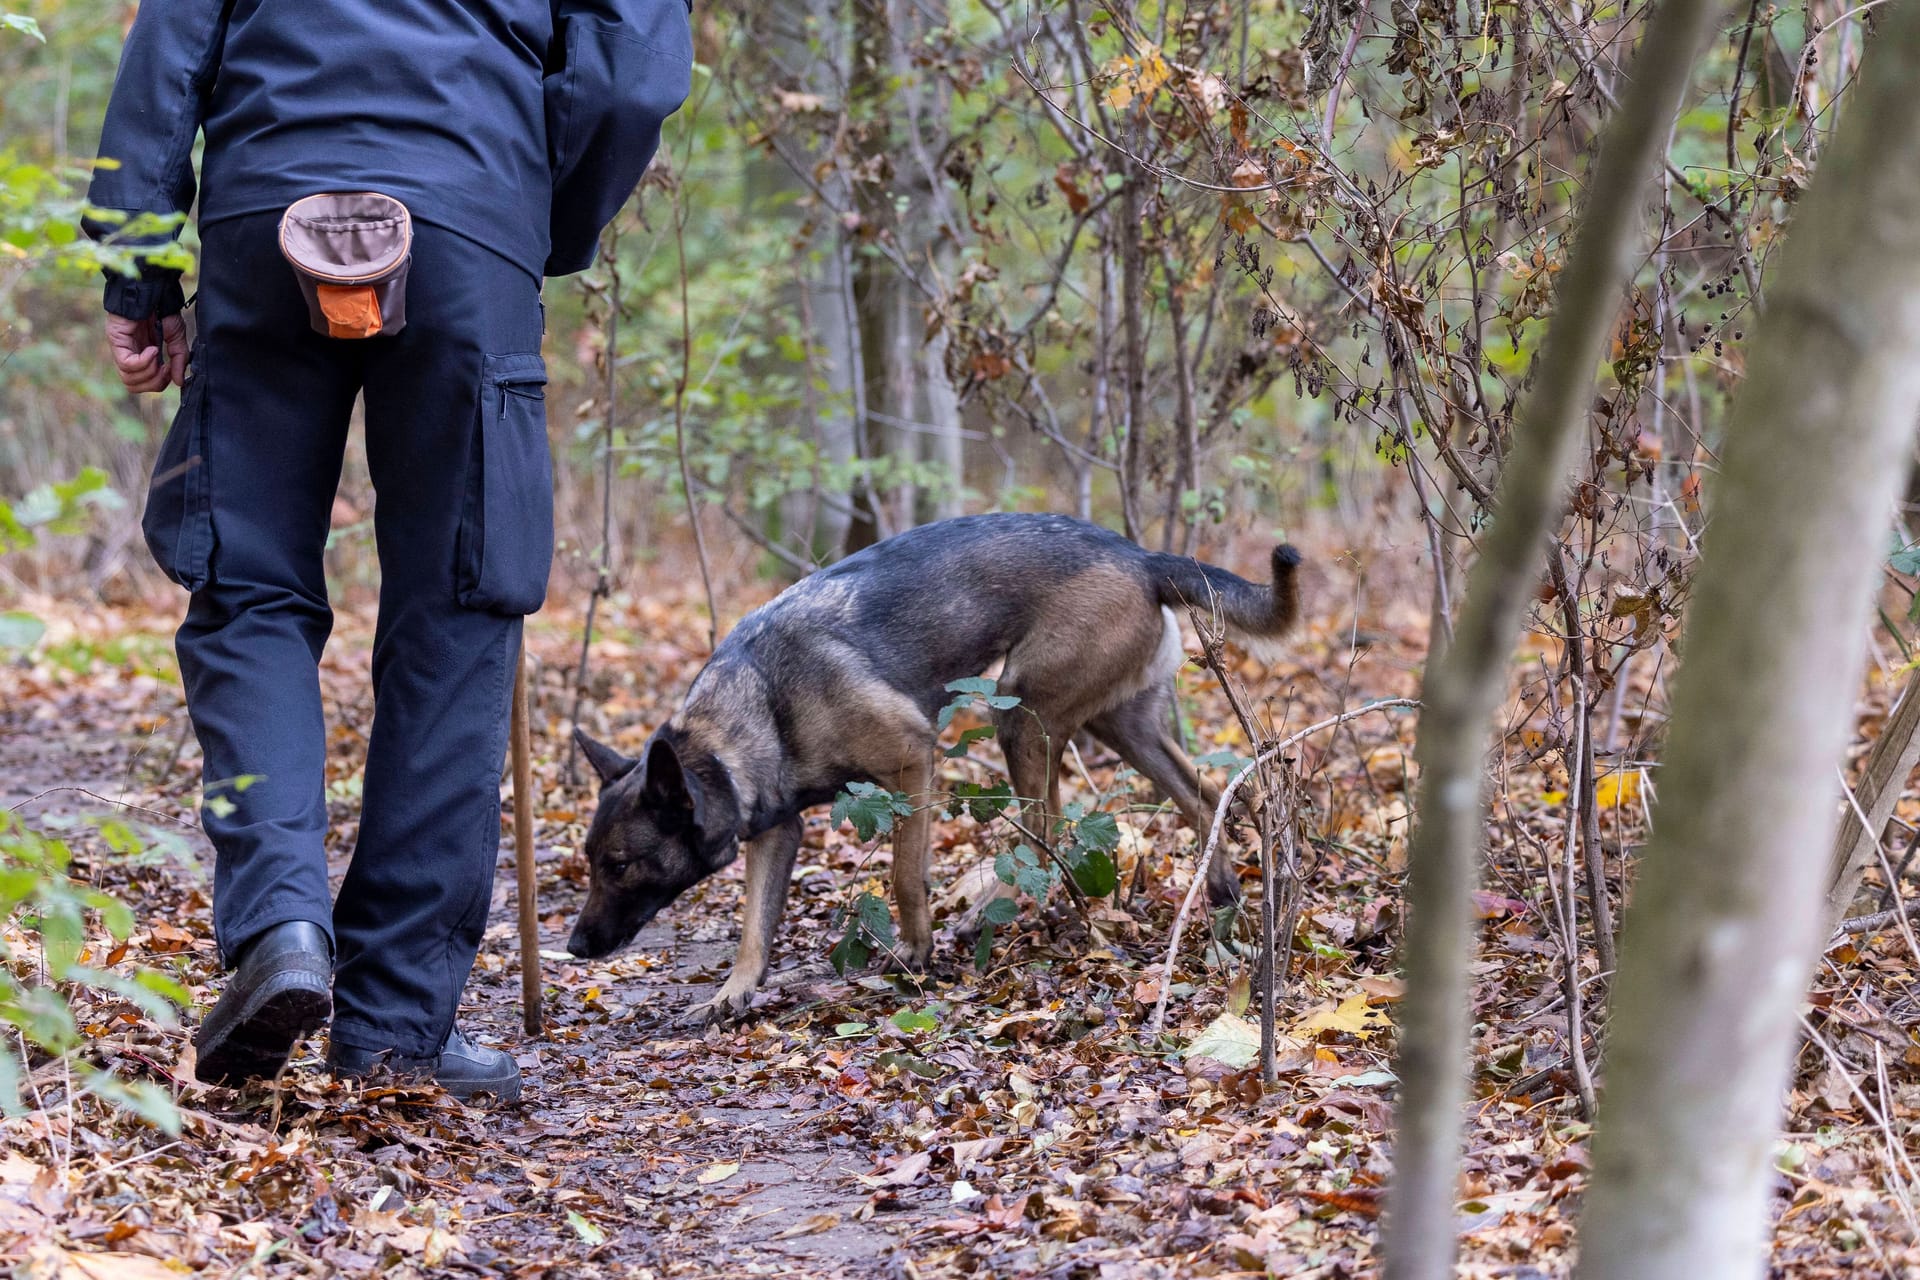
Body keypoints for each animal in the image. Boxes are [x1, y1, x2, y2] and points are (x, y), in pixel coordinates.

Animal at [560, 510, 1297, 1020]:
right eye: (592, 863)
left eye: (619, 866)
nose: (573, 948)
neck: (753, 712)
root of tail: (1140, 556)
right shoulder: (775, 832)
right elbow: (753, 927)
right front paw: (734, 992)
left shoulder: (911, 763)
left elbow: (903, 876)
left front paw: (915, 953)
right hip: (1119, 725)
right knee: (1205, 797)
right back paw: (1223, 897)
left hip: (1021, 715)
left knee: (1044, 833)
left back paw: (989, 913)